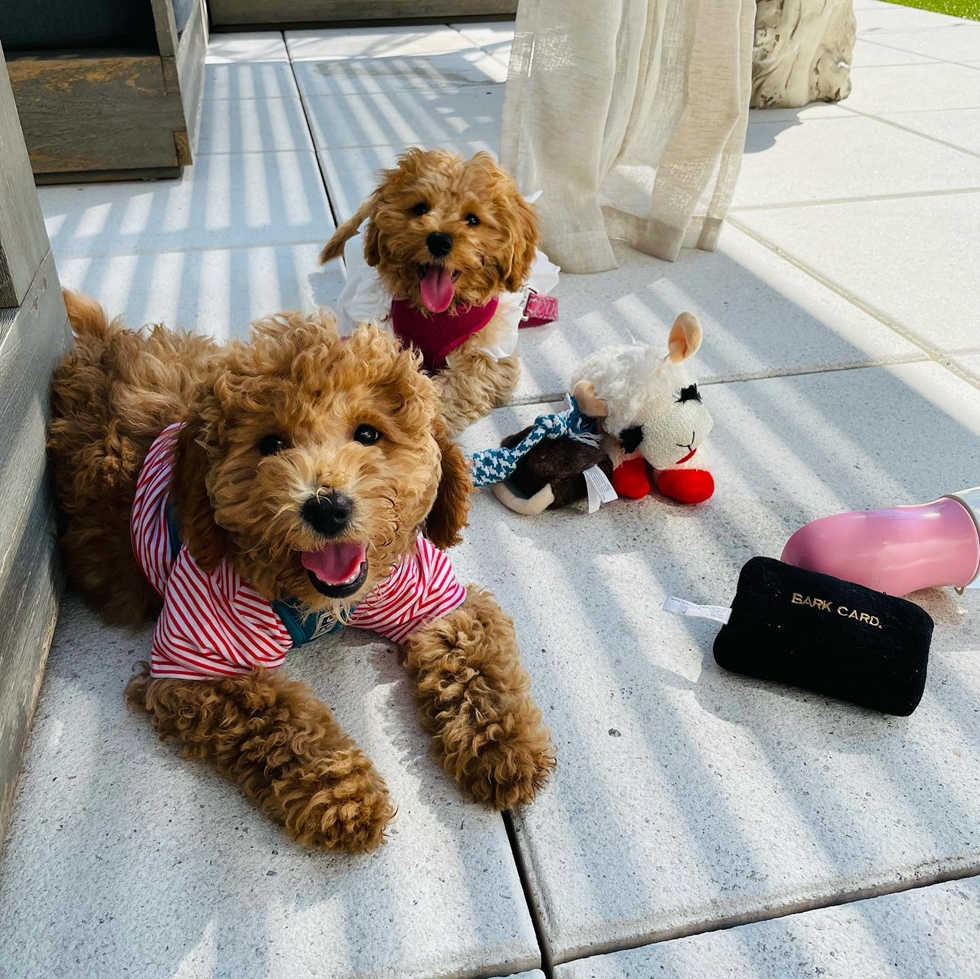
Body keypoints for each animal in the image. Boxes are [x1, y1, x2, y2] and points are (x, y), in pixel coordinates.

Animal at [49, 294, 556, 852]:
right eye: (271, 443)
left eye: (368, 434)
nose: (327, 507)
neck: (317, 602)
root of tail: (103, 347)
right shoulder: (197, 657)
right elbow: (277, 718)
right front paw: (342, 789)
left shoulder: (428, 594)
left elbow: (476, 662)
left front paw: (503, 744)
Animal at [318, 146, 540, 436]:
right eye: (420, 208)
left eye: (472, 219)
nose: (439, 240)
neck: (437, 313)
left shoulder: (490, 358)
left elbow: (454, 388)